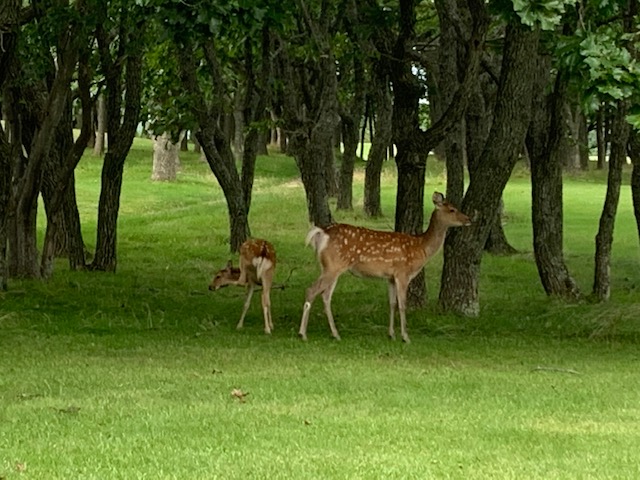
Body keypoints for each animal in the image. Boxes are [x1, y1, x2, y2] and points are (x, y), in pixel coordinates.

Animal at [299, 192, 472, 343]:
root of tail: (322, 232)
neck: (421, 247)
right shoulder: (403, 272)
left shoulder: (390, 277)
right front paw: (405, 337)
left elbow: (392, 304)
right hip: (333, 266)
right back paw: (303, 334)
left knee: (325, 296)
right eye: (452, 209)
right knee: (312, 290)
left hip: (330, 267)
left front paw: (391, 334)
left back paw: (335, 334)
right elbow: (402, 305)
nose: (469, 219)